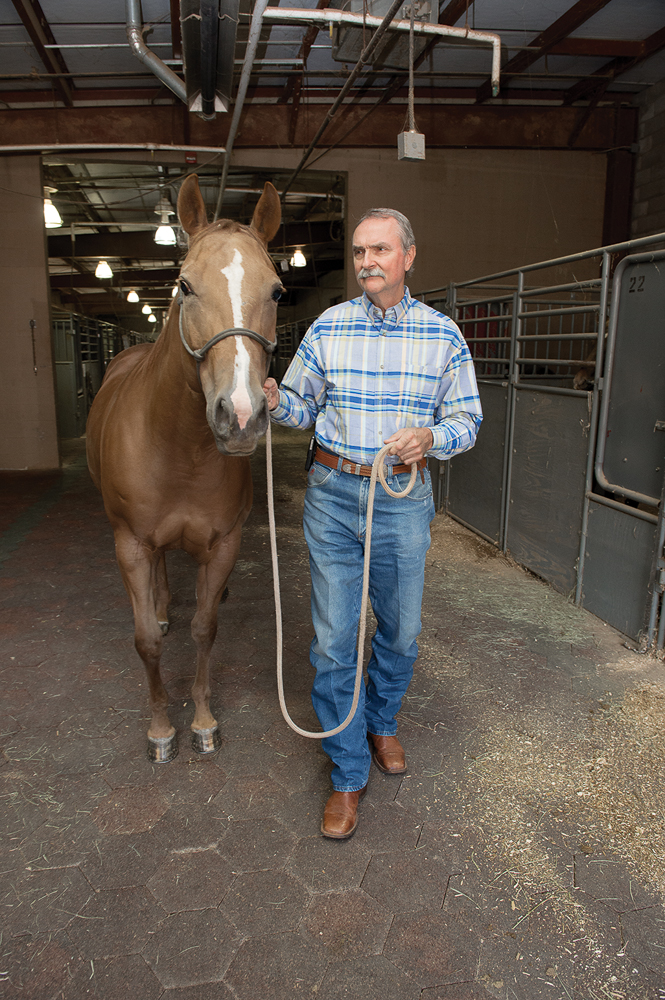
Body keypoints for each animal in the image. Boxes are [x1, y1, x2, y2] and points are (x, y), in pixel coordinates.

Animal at [86, 174, 282, 762]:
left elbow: (204, 628)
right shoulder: (130, 542)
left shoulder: (222, 544)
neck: (179, 448)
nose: (240, 414)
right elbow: (147, 639)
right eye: (185, 285)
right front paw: (160, 731)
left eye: (276, 291)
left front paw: (201, 723)